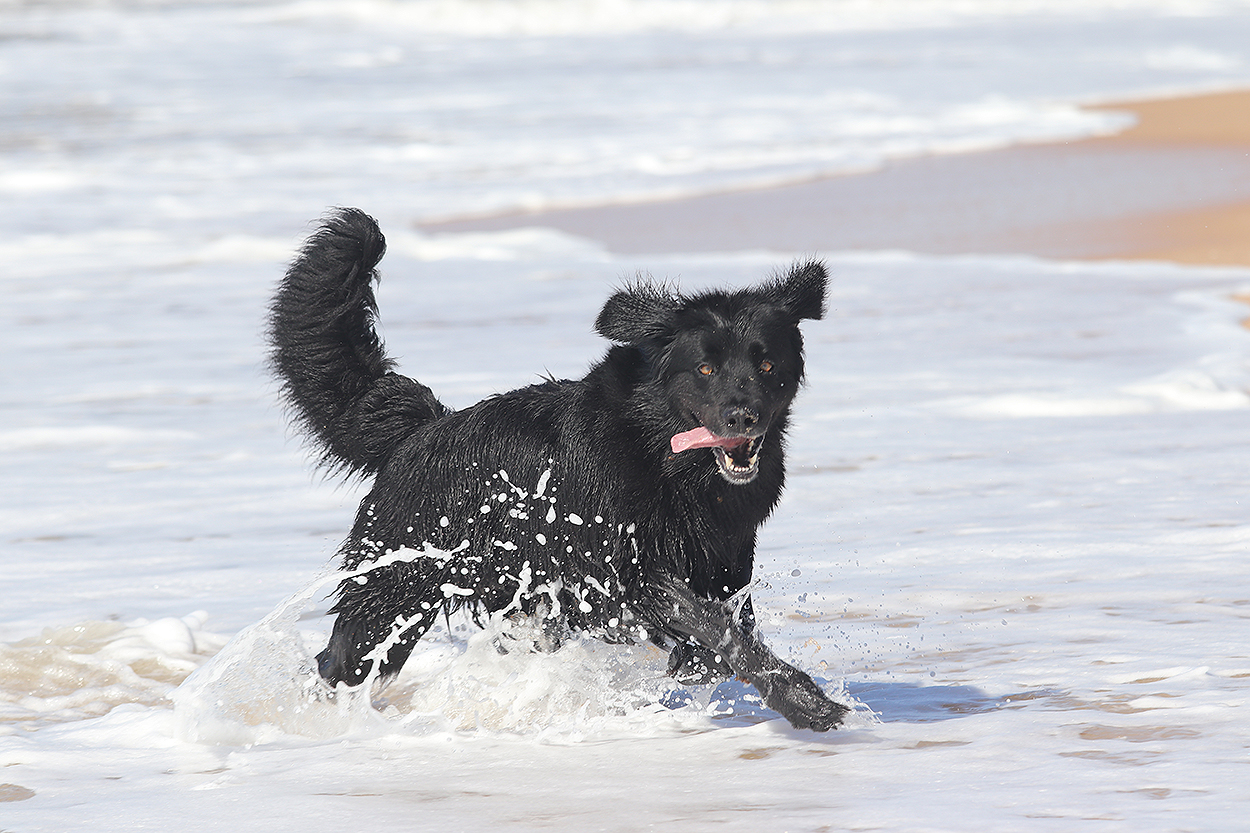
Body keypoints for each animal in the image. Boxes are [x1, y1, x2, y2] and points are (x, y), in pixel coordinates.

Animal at [268, 208, 846, 731]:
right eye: (705, 368)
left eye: (766, 364)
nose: (742, 416)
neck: (665, 457)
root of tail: (421, 429)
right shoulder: (623, 571)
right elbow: (715, 628)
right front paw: (806, 702)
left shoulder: (726, 560)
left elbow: (727, 630)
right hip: (393, 589)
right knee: (340, 660)